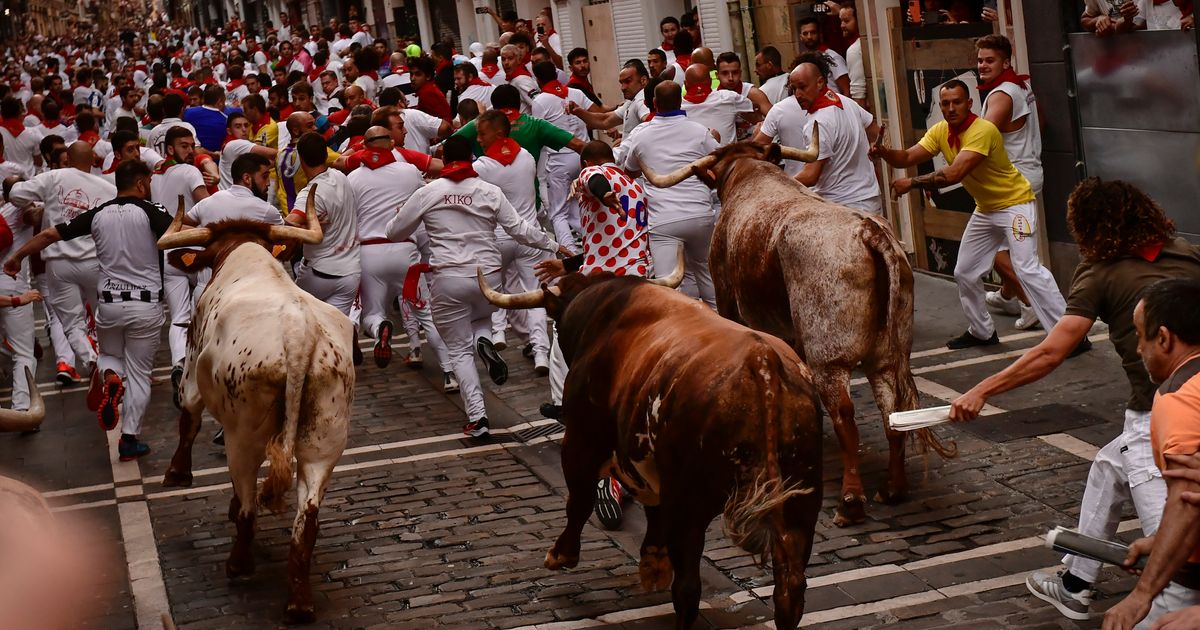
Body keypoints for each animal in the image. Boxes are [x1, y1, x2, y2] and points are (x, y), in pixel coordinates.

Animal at [153, 192, 355, 624]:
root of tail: (299, 334)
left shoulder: (192, 368)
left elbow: (188, 418)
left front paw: (177, 473)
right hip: (324, 440)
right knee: (306, 517)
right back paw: (299, 602)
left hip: (242, 433)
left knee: (248, 498)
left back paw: (239, 563)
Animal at [477, 256, 825, 628]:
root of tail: (762, 362)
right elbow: (650, 510)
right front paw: (653, 563)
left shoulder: (582, 441)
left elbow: (579, 500)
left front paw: (561, 555)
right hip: (802, 501)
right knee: (790, 588)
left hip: (690, 503)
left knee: (688, 587)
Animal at [638, 130, 955, 528]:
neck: (751, 174)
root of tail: (868, 231)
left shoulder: (728, 302)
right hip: (886, 355)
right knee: (892, 411)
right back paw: (893, 488)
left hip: (829, 358)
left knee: (845, 415)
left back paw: (851, 501)